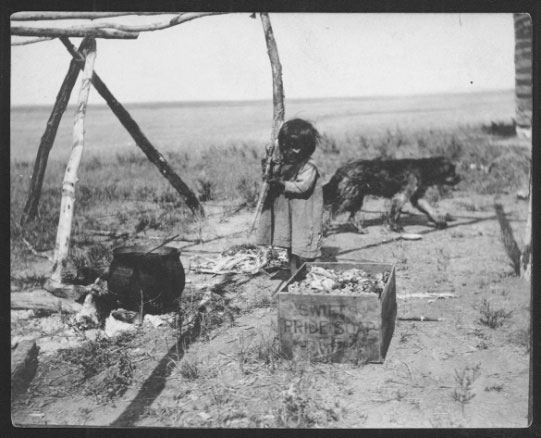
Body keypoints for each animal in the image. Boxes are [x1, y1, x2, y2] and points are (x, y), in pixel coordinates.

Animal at [322, 157, 458, 233]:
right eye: (452, 172)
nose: (460, 179)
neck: (421, 168)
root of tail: (341, 170)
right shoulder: (401, 196)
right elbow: (394, 214)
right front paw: (396, 227)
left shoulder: (417, 198)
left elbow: (430, 209)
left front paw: (439, 221)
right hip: (348, 198)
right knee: (331, 215)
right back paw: (324, 231)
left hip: (356, 198)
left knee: (351, 217)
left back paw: (360, 230)